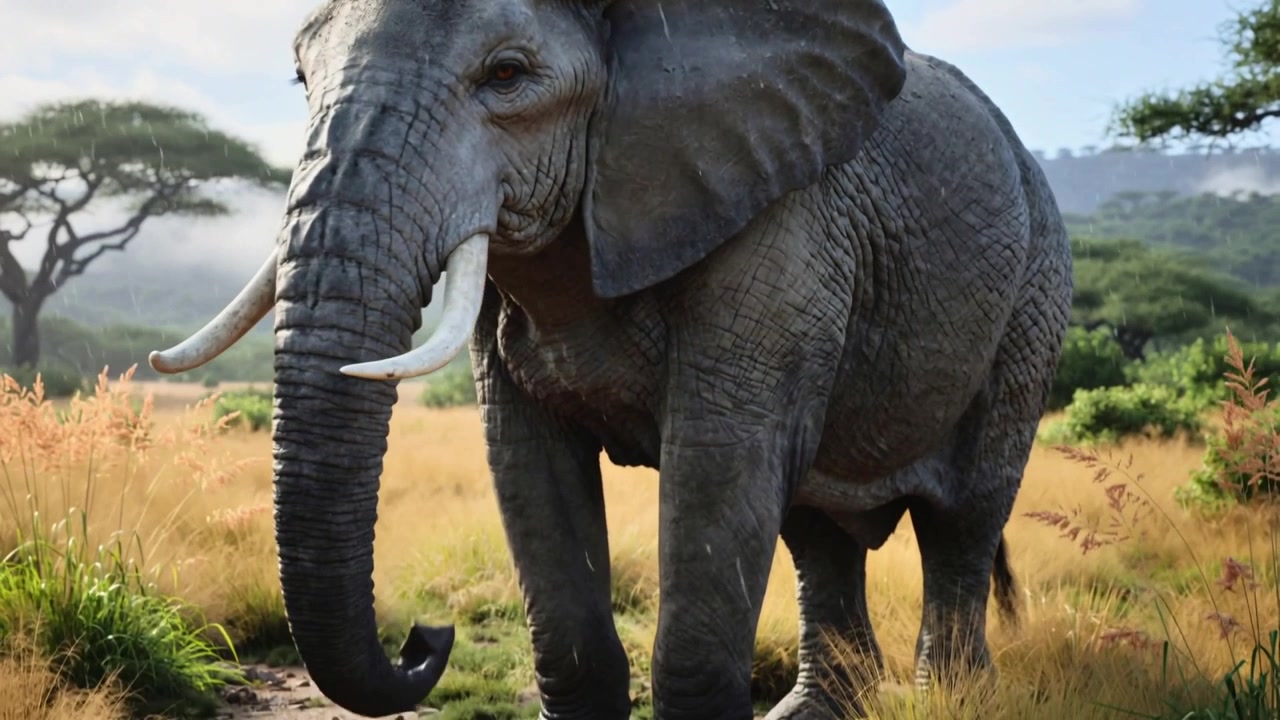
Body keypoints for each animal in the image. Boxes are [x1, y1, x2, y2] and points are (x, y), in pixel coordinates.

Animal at [149, 0, 1073, 717]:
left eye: (508, 75)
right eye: (301, 80)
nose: (424, 635)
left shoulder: (784, 219)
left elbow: (723, 459)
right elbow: (528, 470)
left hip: (1032, 295)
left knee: (962, 523)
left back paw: (954, 698)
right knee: (817, 528)